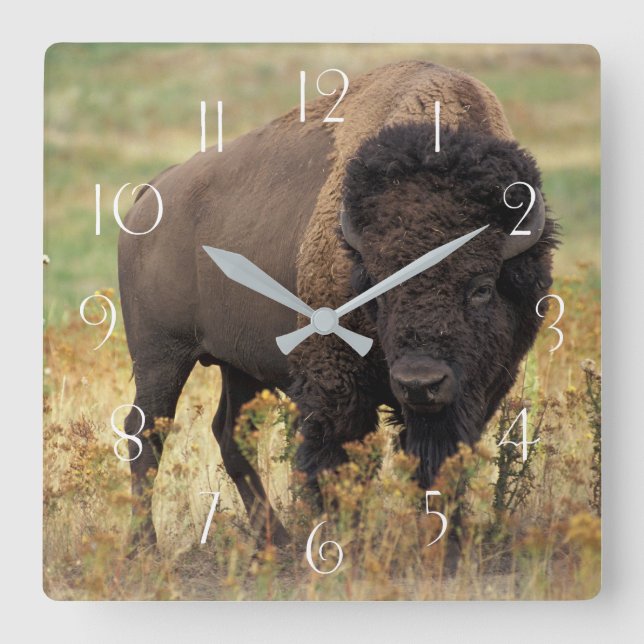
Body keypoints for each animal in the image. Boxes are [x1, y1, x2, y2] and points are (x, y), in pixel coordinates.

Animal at [118, 60, 557, 547]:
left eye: (481, 286)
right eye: (380, 285)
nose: (420, 382)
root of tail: (152, 192)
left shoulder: (478, 389)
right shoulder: (335, 384)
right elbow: (338, 461)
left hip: (238, 364)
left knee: (229, 434)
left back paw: (277, 541)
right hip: (161, 356)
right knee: (146, 435)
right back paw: (146, 546)